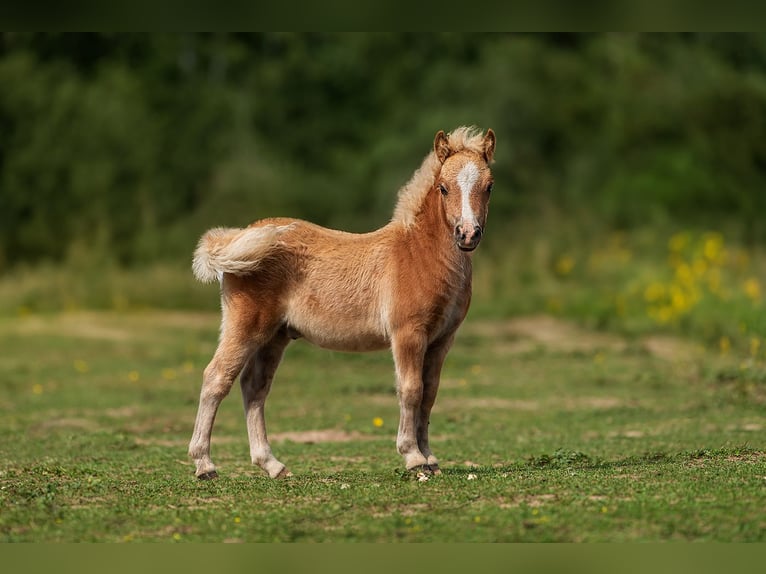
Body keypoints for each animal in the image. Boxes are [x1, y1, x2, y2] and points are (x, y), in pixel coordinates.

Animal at [189, 127, 496, 482]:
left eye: (489, 186)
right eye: (443, 188)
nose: (467, 234)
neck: (417, 253)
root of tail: (241, 238)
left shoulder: (442, 340)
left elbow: (429, 394)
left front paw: (430, 459)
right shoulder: (408, 333)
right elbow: (410, 390)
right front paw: (413, 457)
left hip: (275, 336)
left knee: (254, 388)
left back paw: (273, 465)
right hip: (245, 327)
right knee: (215, 379)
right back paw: (205, 465)